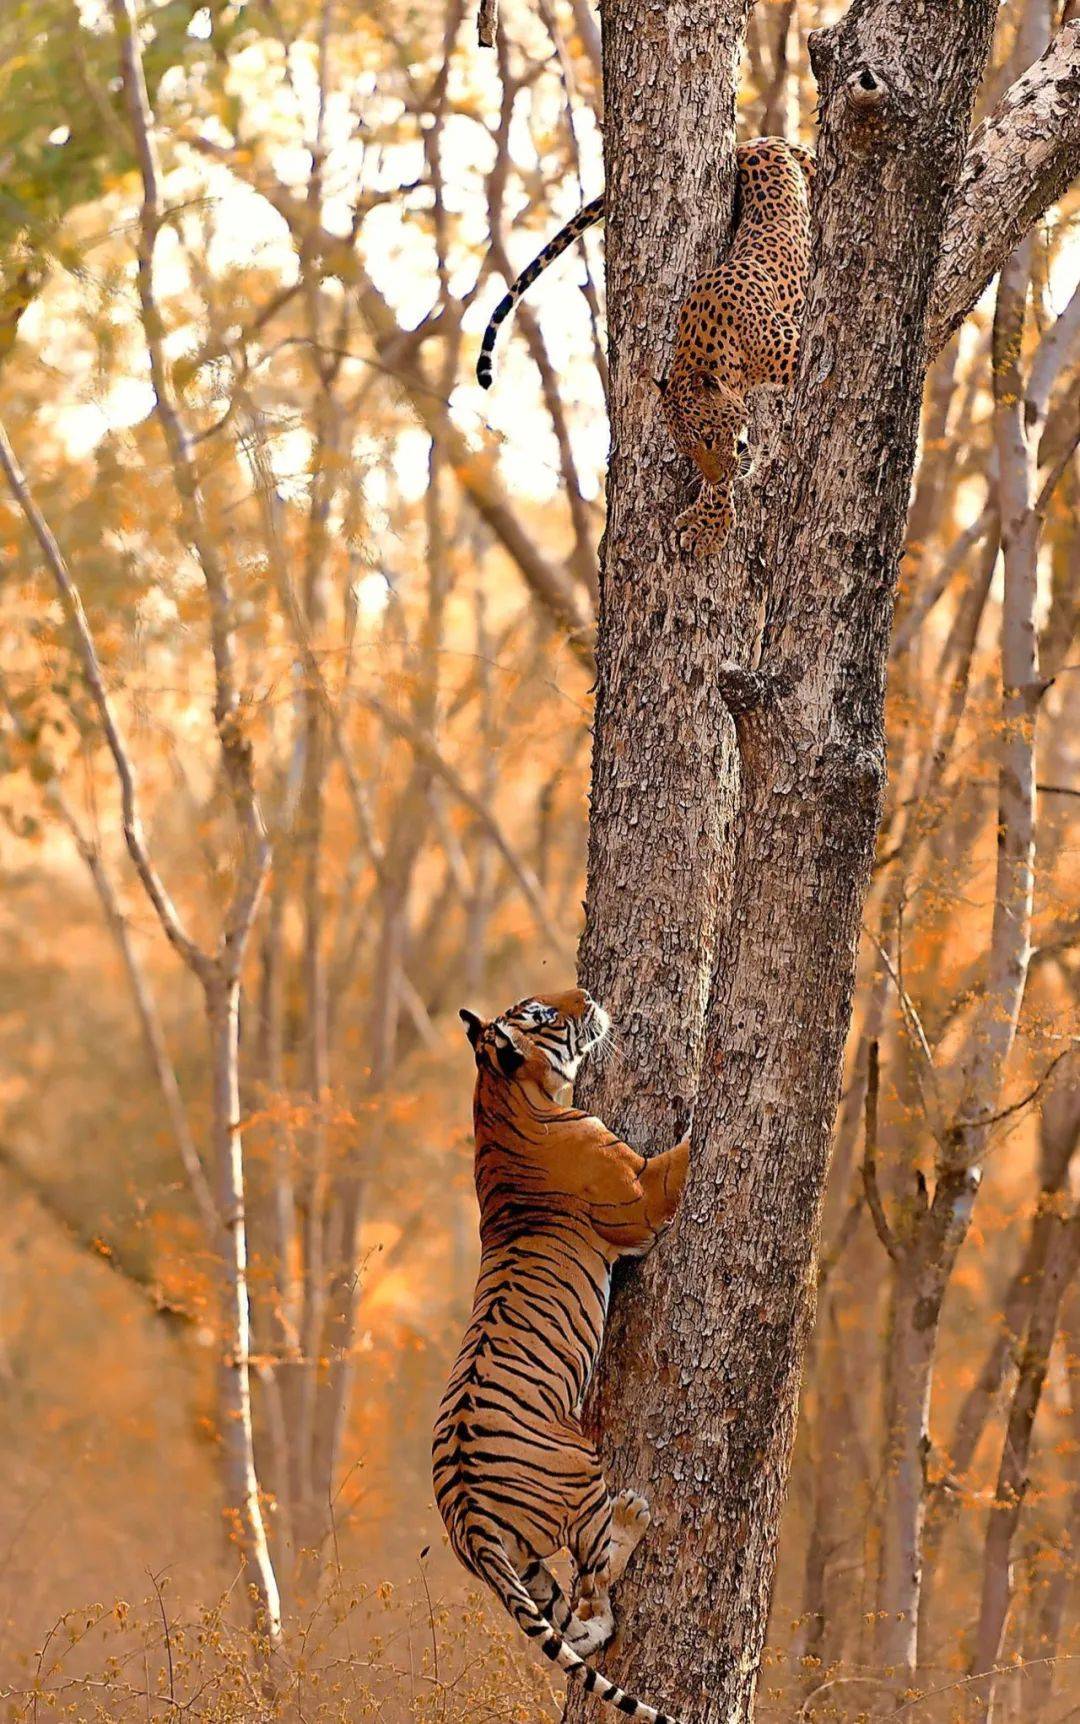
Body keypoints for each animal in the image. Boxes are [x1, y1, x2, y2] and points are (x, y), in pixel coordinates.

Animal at [431, 986, 690, 1724]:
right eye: (543, 1015)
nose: (591, 996)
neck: (500, 1098)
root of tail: (468, 1517)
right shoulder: (641, 1196)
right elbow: (685, 1154)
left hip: (521, 1564)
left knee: (571, 1620)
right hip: (579, 1474)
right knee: (597, 1573)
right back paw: (633, 1516)